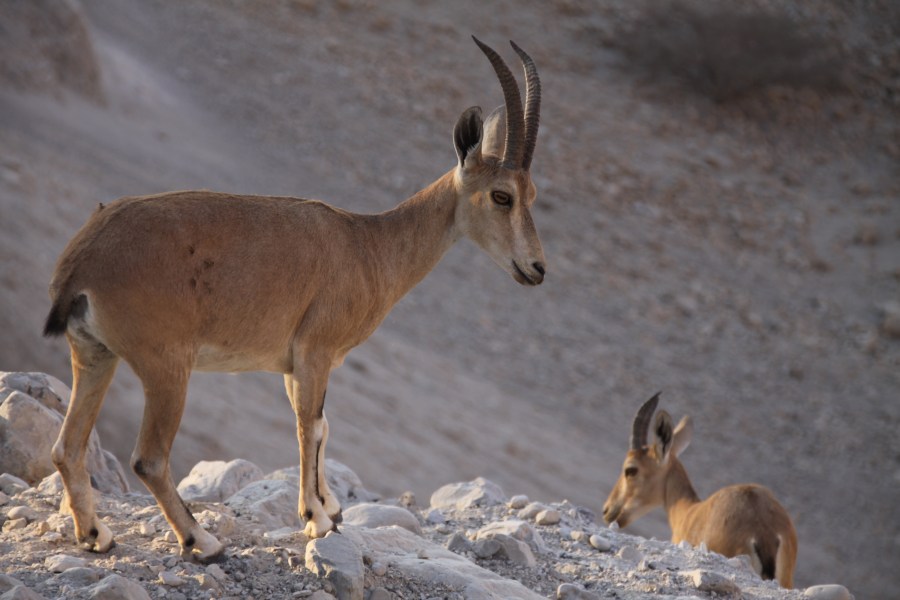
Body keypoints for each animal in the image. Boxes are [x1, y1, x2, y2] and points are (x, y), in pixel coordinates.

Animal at [42, 37, 546, 562]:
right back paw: (202, 540)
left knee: (68, 447)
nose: (536, 269)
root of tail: (82, 258)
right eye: (502, 196)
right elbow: (310, 425)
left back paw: (96, 534)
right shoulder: (314, 352)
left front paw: (330, 509)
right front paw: (316, 518)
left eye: (531, 192)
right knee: (150, 459)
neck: (368, 246)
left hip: (94, 353)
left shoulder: (292, 364)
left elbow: (320, 425)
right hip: (166, 366)